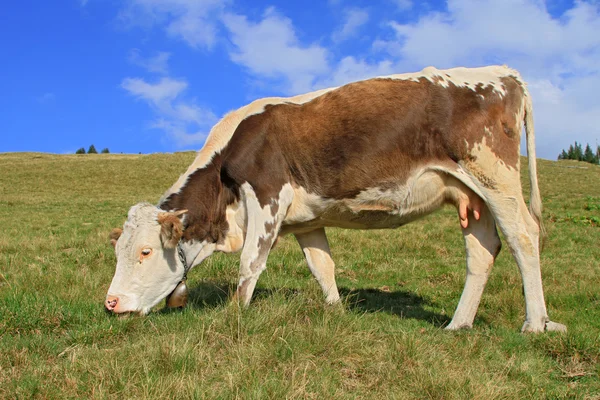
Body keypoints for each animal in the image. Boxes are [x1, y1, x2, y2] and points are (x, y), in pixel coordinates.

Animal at [104, 65, 568, 332]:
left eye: (145, 251)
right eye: (119, 252)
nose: (110, 303)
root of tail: (503, 72)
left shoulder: (268, 195)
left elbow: (250, 262)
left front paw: (232, 316)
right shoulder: (306, 219)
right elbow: (322, 267)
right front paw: (337, 313)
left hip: (495, 175)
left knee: (524, 236)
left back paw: (535, 323)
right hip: (471, 194)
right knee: (483, 249)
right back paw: (458, 325)